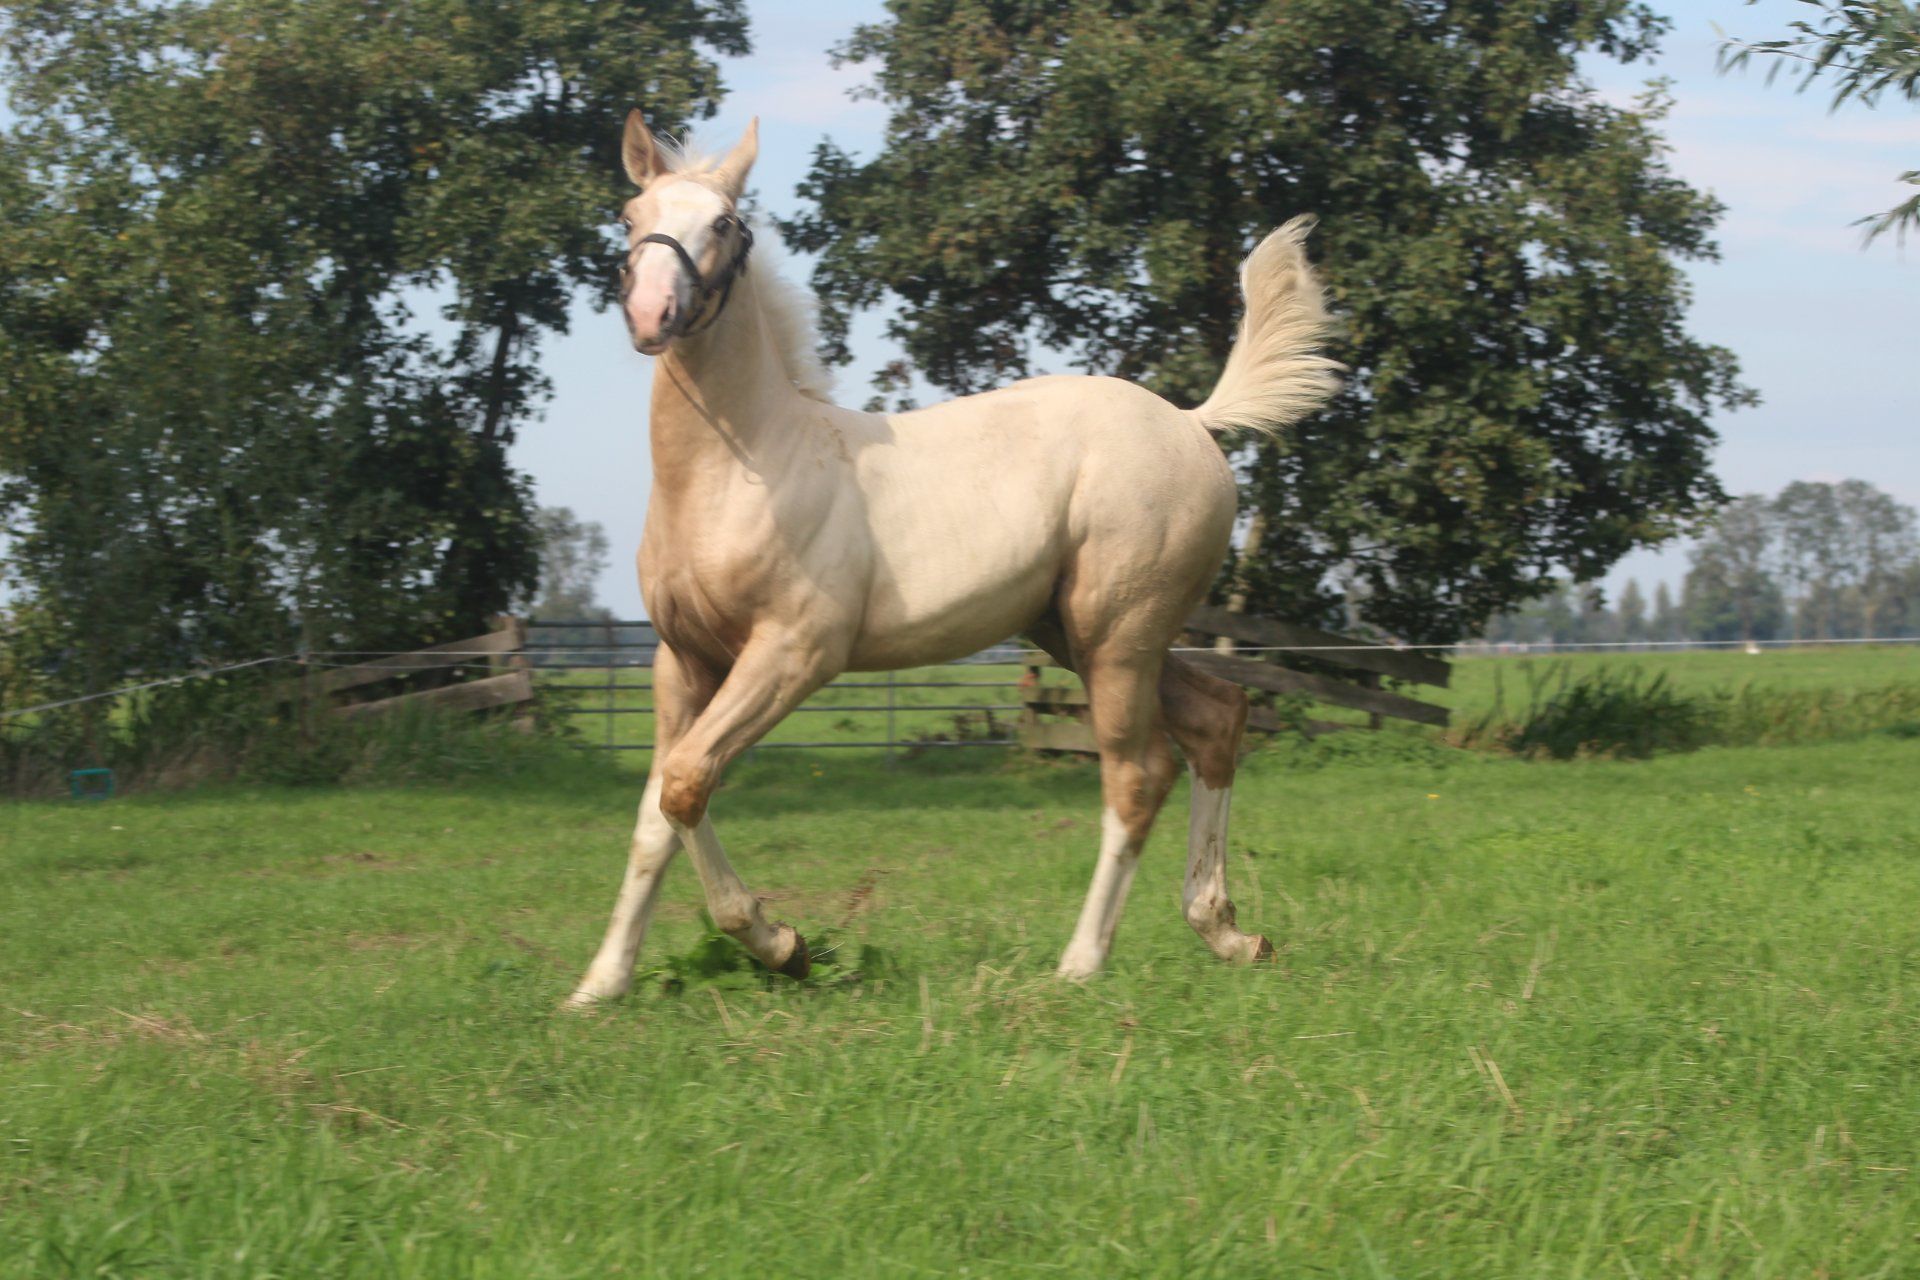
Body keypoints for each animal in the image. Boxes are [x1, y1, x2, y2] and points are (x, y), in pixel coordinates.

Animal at [568, 110, 1339, 1005]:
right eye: (632, 215)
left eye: (724, 223)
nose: (652, 311)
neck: (743, 464)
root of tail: (1191, 420)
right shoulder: (682, 661)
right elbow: (657, 811)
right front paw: (600, 984)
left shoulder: (795, 651)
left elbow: (689, 782)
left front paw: (782, 944)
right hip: (1075, 632)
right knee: (1217, 720)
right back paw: (1229, 933)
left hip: (1118, 635)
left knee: (1138, 774)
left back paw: (1079, 963)